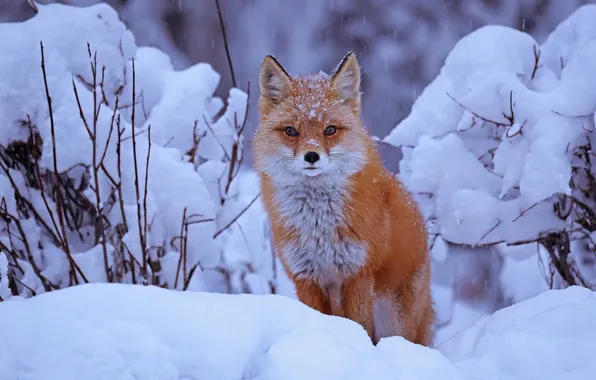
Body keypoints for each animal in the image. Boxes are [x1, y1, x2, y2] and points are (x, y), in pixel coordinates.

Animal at [251, 52, 434, 346]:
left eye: (330, 130)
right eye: (291, 131)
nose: (311, 156)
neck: (318, 228)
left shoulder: (358, 274)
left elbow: (360, 326)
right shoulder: (306, 277)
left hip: (395, 320)